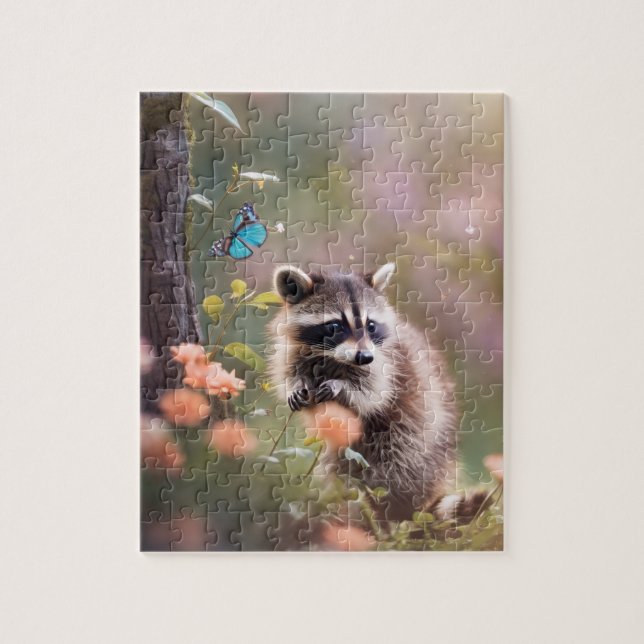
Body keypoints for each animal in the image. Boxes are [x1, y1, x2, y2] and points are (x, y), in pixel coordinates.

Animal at [268, 263, 479, 521]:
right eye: (335, 326)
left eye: (370, 325)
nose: (365, 357)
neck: (331, 356)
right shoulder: (294, 350)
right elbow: (290, 374)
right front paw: (296, 386)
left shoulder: (387, 363)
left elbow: (373, 395)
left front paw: (341, 387)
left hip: (419, 431)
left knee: (397, 465)